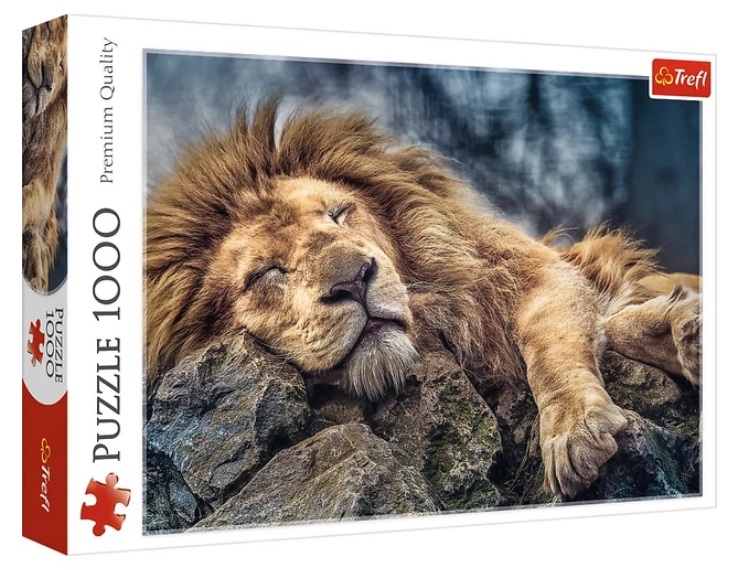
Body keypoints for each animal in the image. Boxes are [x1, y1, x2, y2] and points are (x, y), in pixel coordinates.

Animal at [146, 99, 701, 499]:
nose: (354, 280)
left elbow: (553, 346)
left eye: (339, 214)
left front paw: (576, 429)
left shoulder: (535, 271)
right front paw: (679, 331)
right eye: (268, 272)